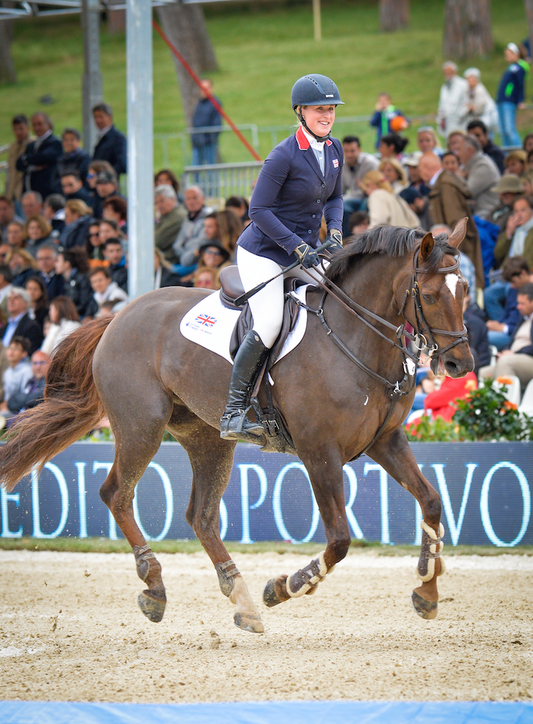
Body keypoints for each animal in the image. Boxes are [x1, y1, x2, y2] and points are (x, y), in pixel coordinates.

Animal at [1, 219, 474, 632]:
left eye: (466, 290)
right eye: (431, 294)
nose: (460, 364)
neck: (356, 338)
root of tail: (119, 316)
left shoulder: (386, 440)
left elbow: (432, 502)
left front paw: (427, 590)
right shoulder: (320, 452)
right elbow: (340, 539)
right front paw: (286, 586)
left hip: (206, 437)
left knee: (201, 515)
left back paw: (241, 600)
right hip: (141, 426)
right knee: (116, 493)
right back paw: (156, 586)